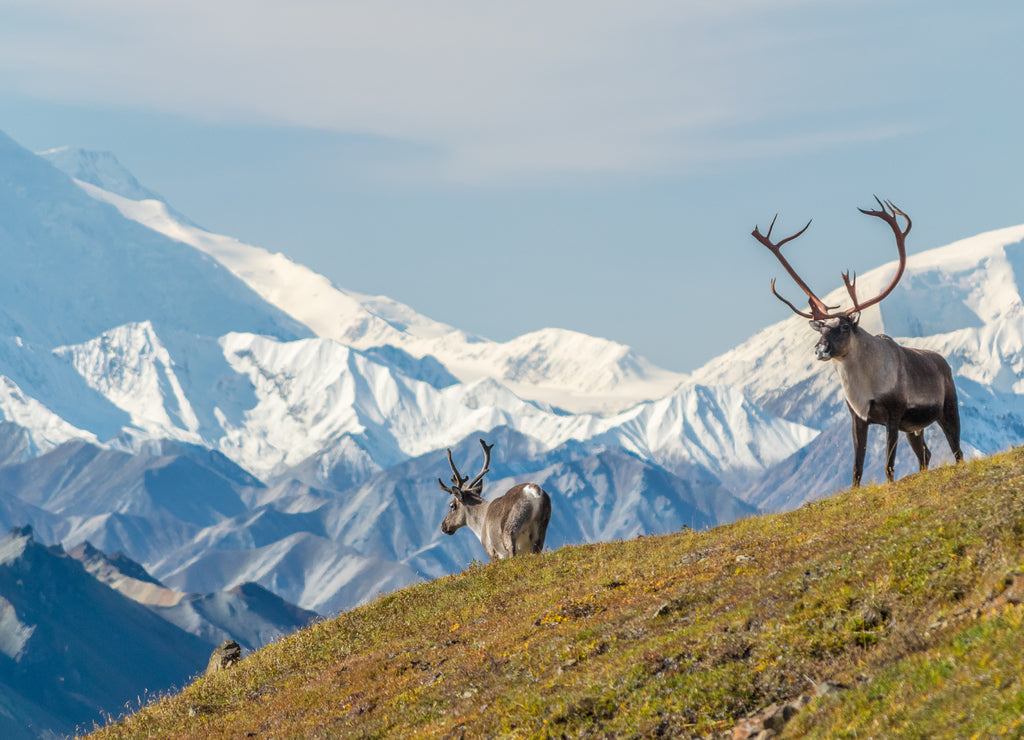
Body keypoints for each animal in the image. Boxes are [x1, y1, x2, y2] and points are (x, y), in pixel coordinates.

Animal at [753, 196, 958, 487]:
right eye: (820, 329)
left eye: (845, 326)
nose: (819, 349)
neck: (864, 386)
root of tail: (943, 361)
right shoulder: (858, 418)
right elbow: (856, 468)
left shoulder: (894, 414)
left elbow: (888, 466)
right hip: (914, 427)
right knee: (925, 455)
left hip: (947, 408)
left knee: (957, 450)